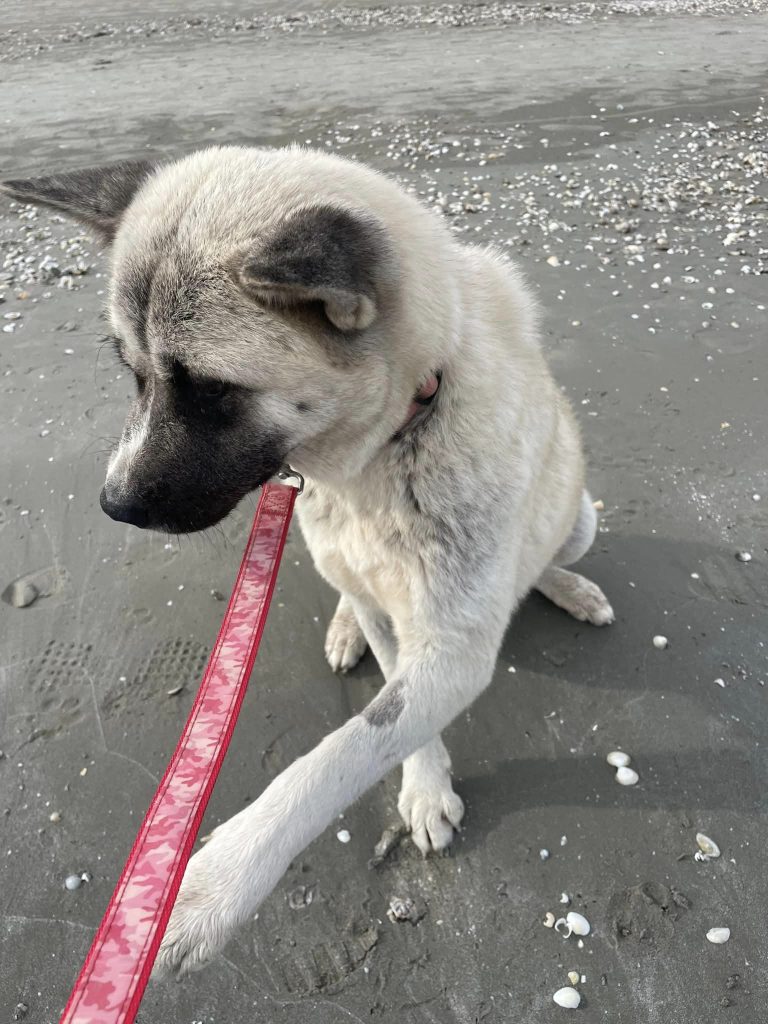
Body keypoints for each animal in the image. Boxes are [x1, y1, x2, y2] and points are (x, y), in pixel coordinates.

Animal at [0, 149, 614, 974]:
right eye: (131, 372)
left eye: (213, 390)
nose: (113, 503)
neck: (384, 450)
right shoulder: (391, 611)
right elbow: (390, 704)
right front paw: (423, 780)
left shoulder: (453, 650)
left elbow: (344, 752)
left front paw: (211, 886)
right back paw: (348, 626)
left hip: (579, 515)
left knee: (551, 550)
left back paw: (567, 585)